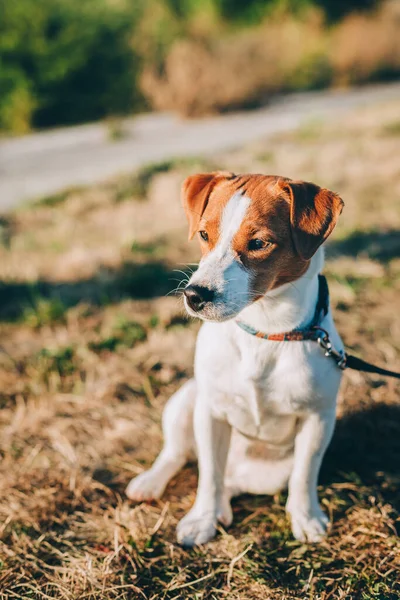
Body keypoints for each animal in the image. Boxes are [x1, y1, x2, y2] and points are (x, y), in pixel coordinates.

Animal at [127, 171, 344, 548]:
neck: (264, 331)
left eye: (258, 243)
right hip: (186, 399)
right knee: (178, 454)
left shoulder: (318, 419)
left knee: (234, 483)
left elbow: (304, 475)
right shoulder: (210, 411)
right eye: (203, 235)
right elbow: (209, 474)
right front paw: (201, 518)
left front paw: (305, 518)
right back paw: (152, 483)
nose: (194, 295)